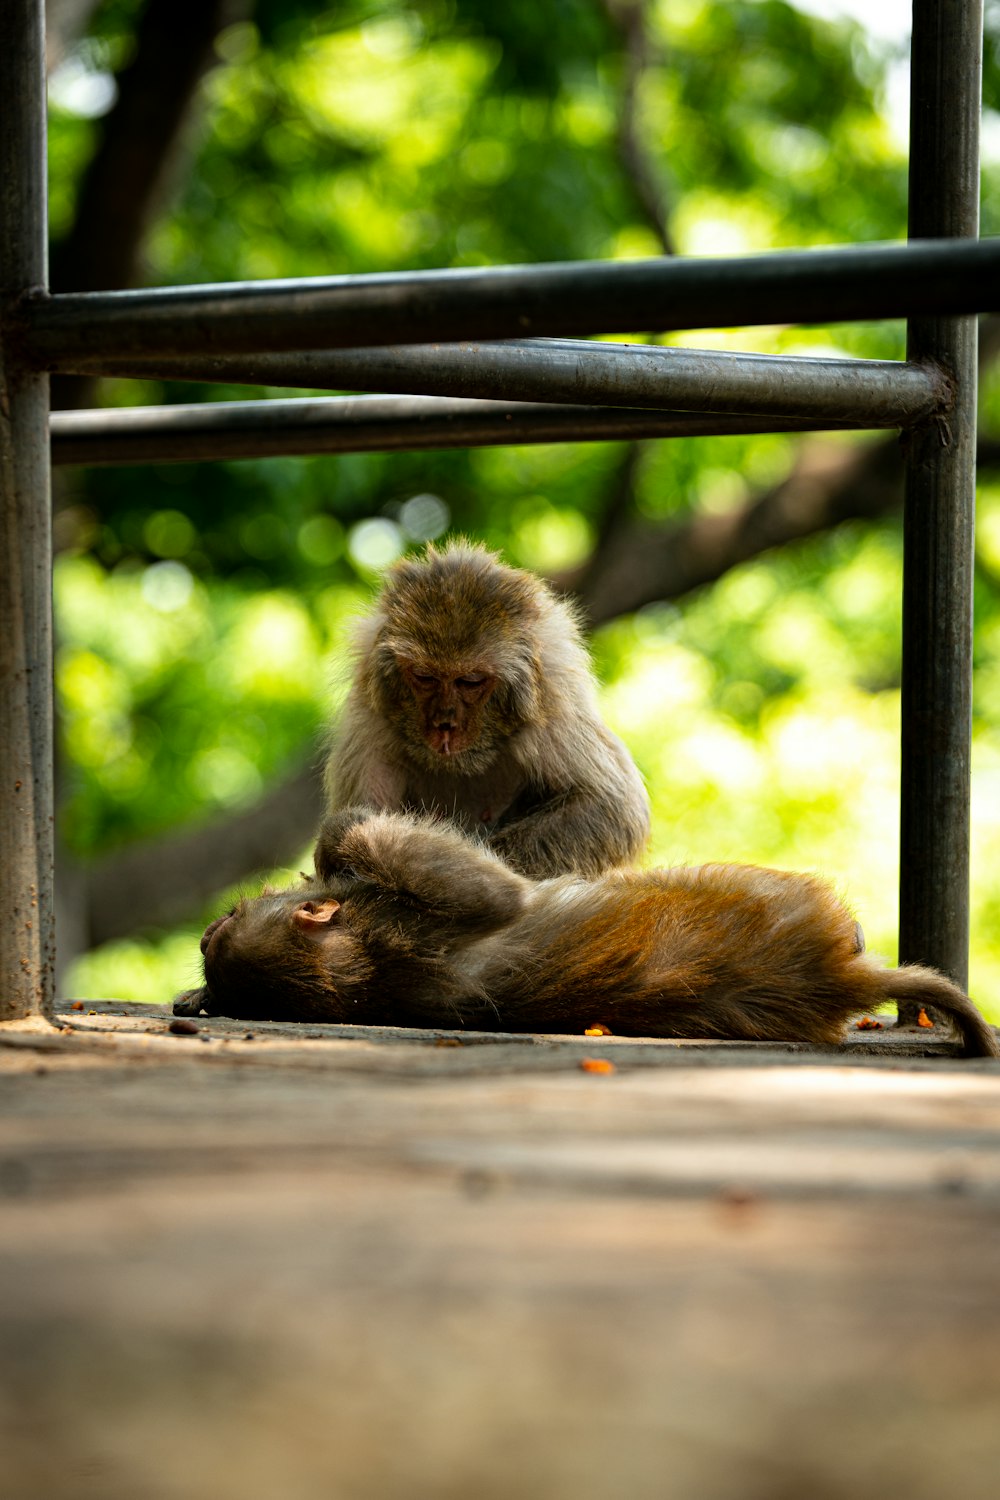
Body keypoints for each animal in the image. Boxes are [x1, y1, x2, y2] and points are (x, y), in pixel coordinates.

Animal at [176, 810, 1000, 1056]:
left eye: (226, 922)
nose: (208, 926)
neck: (362, 964)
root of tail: (840, 977)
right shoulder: (419, 923)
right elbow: (497, 896)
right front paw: (337, 846)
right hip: (781, 898)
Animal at [320, 540, 650, 876]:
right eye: (425, 677)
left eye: (470, 681)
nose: (445, 723)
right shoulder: (368, 720)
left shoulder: (553, 707)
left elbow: (611, 806)